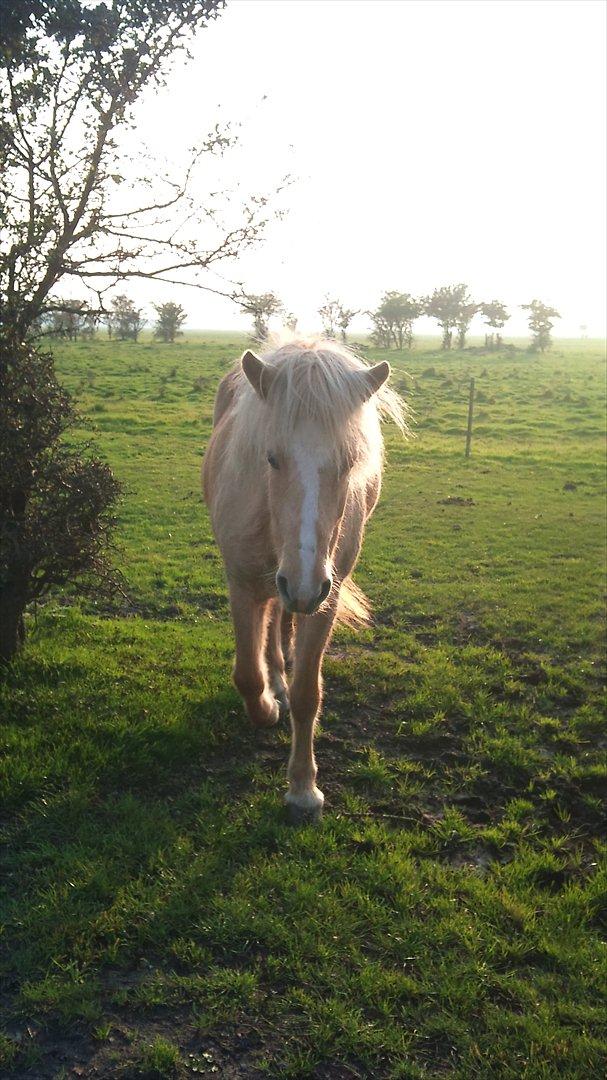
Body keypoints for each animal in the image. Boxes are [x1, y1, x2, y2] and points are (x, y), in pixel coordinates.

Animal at [203, 341, 406, 820]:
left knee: (282, 620)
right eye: (271, 457)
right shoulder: (241, 584)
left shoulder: (323, 597)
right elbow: (247, 674)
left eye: (349, 463)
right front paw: (265, 709)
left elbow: (307, 693)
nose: (303, 584)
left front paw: (302, 788)